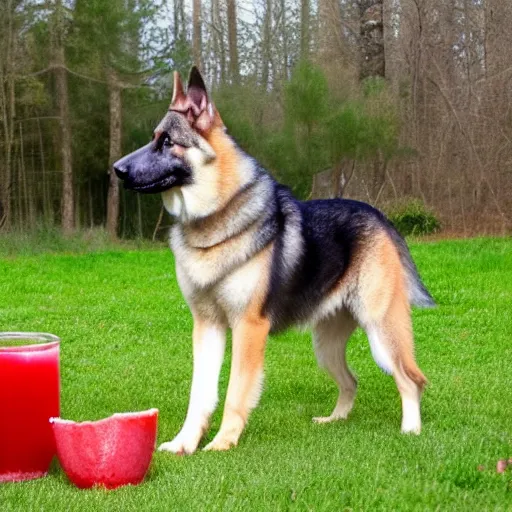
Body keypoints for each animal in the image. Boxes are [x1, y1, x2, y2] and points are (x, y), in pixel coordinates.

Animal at [114, 66, 434, 454]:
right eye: (153, 138)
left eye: (166, 142)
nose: (116, 169)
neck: (215, 218)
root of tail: (379, 216)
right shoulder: (207, 327)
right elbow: (200, 394)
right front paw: (185, 443)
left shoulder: (248, 328)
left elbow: (235, 393)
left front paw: (223, 442)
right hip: (325, 346)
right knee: (351, 381)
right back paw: (335, 420)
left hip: (381, 332)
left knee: (410, 378)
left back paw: (411, 429)